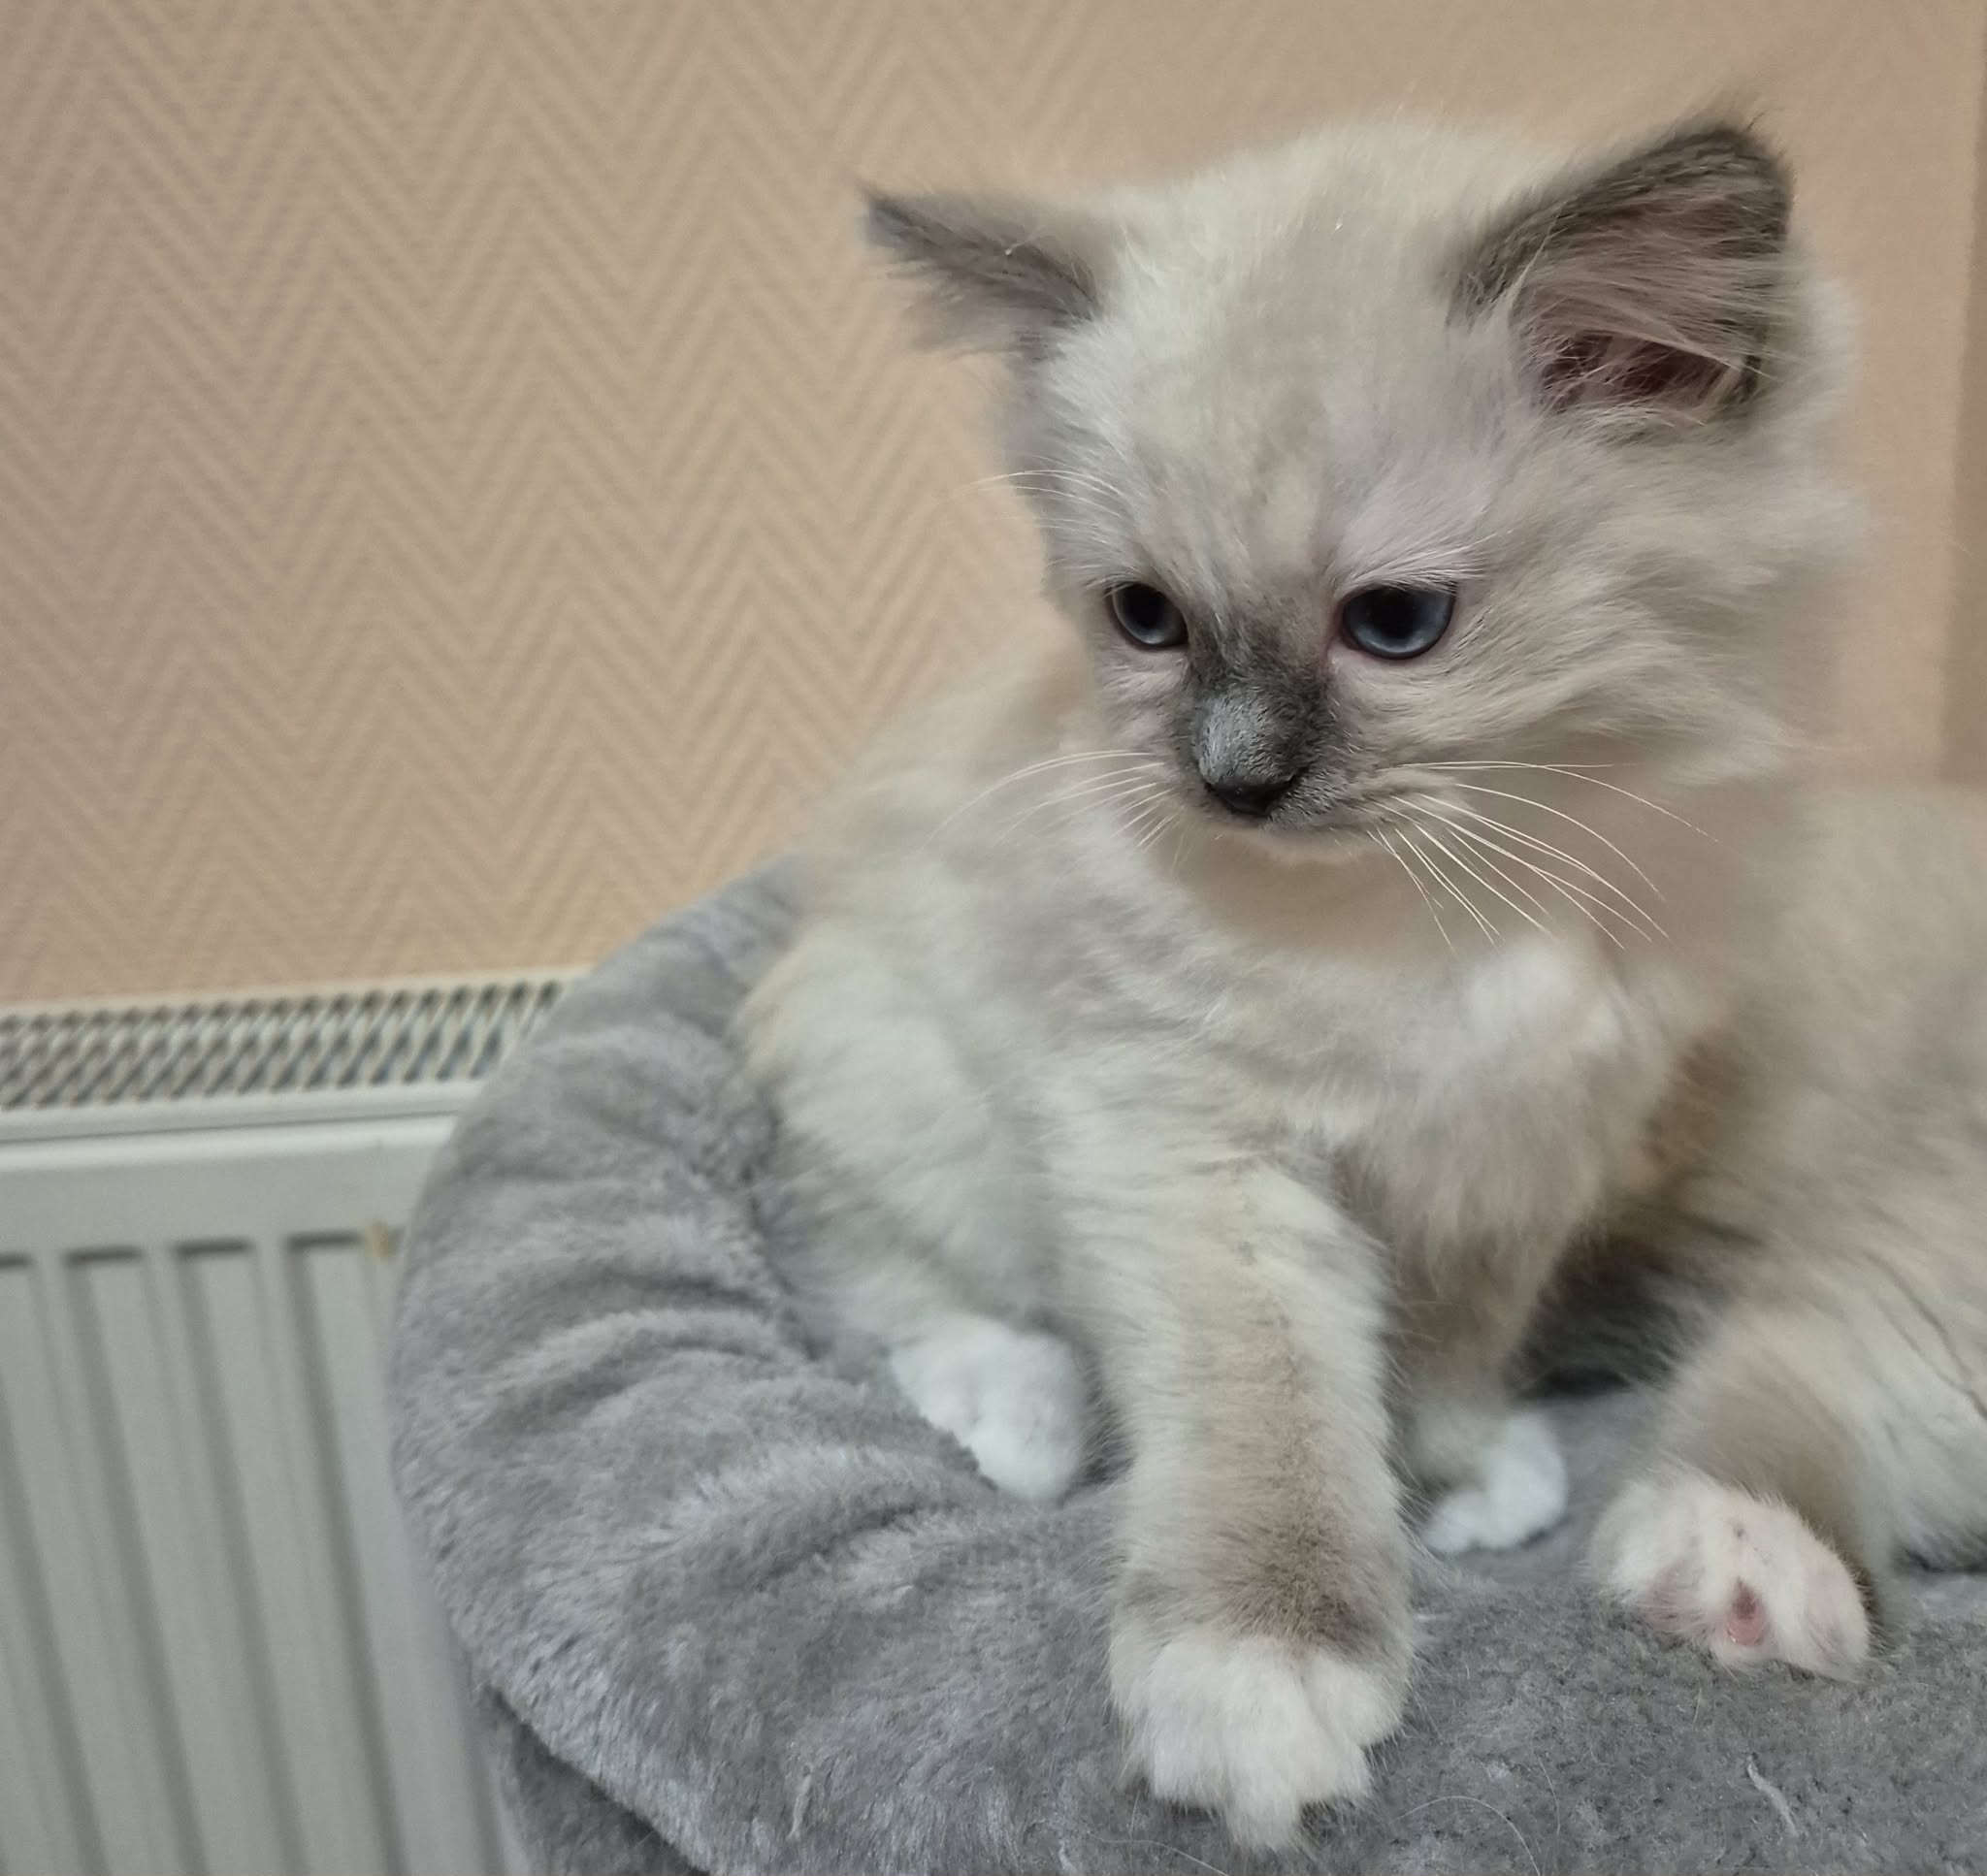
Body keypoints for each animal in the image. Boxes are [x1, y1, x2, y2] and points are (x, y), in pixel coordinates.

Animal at [737, 114, 1987, 1847]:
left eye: (1394, 624)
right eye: (1147, 617)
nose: (1231, 778)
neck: (1446, 908)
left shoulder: (1523, 1157)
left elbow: (1441, 1356)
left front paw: (1462, 1485)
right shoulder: (1195, 1150)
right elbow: (1273, 1429)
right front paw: (1261, 1685)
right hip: (901, 1077)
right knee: (872, 1284)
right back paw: (1021, 1420)